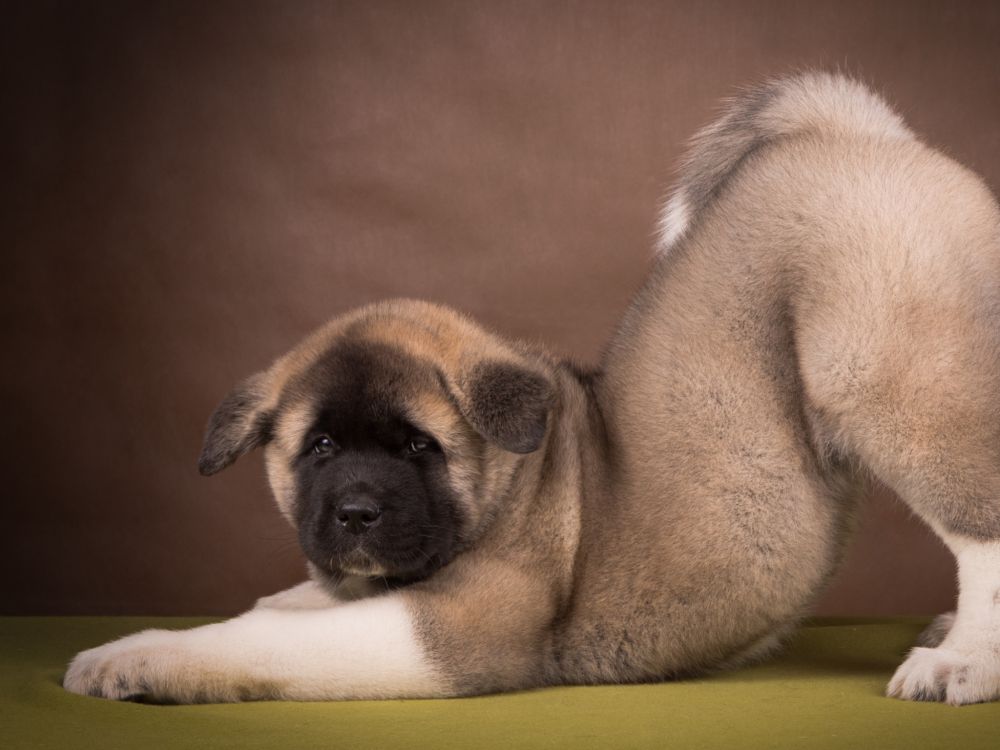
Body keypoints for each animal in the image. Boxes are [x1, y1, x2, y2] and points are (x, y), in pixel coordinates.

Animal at [62, 70, 1000, 704]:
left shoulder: (451, 629)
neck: (513, 482)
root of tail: (858, 138)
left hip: (894, 381)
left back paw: (965, 660)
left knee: (979, 532)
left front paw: (137, 654)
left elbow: (268, 639)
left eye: (420, 448)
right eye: (318, 448)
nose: (357, 514)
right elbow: (280, 605)